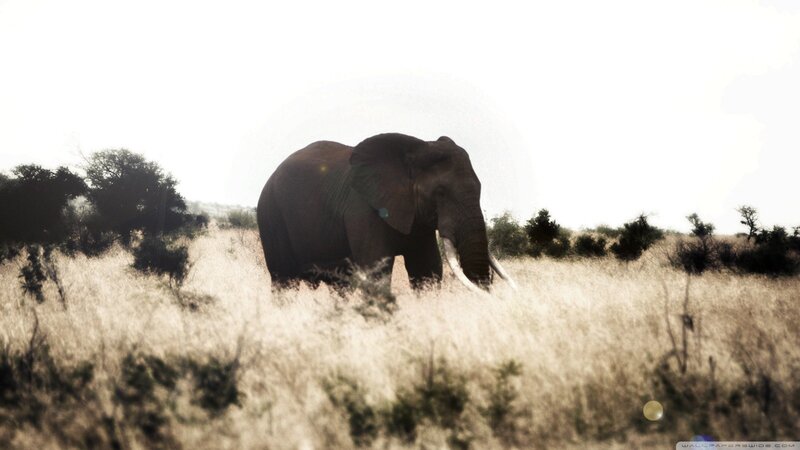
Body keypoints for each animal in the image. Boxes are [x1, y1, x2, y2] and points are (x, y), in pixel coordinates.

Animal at [256, 133, 517, 292]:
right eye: (441, 192)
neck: (416, 149)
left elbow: (427, 270)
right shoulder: (363, 209)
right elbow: (376, 271)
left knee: (339, 286)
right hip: (270, 215)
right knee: (284, 279)